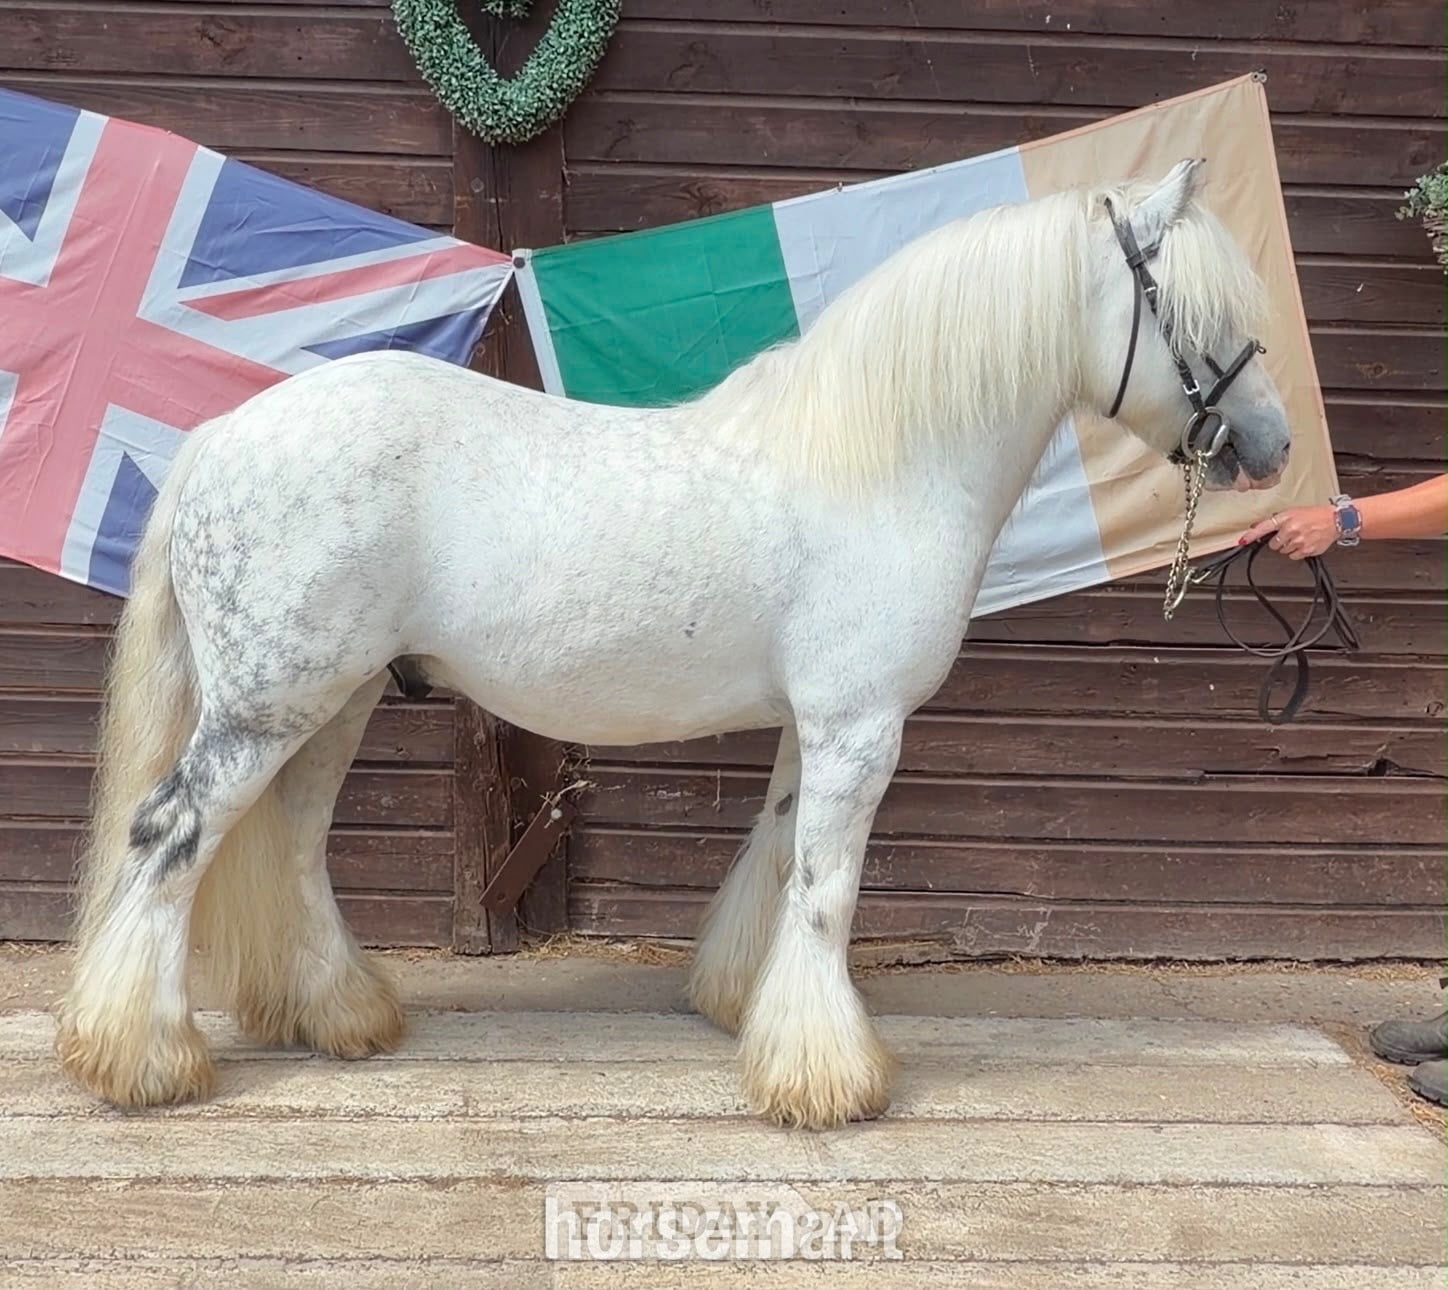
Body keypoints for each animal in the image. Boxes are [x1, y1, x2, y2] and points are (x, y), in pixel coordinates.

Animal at [56, 158, 1290, 1130]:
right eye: (1195, 310)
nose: (1271, 447)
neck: (880, 463)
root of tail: (224, 433)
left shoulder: (816, 726)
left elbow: (779, 857)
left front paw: (750, 1013)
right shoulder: (860, 728)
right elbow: (826, 889)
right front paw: (828, 1081)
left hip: (333, 702)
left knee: (292, 845)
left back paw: (338, 1016)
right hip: (269, 707)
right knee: (169, 836)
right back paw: (140, 1060)